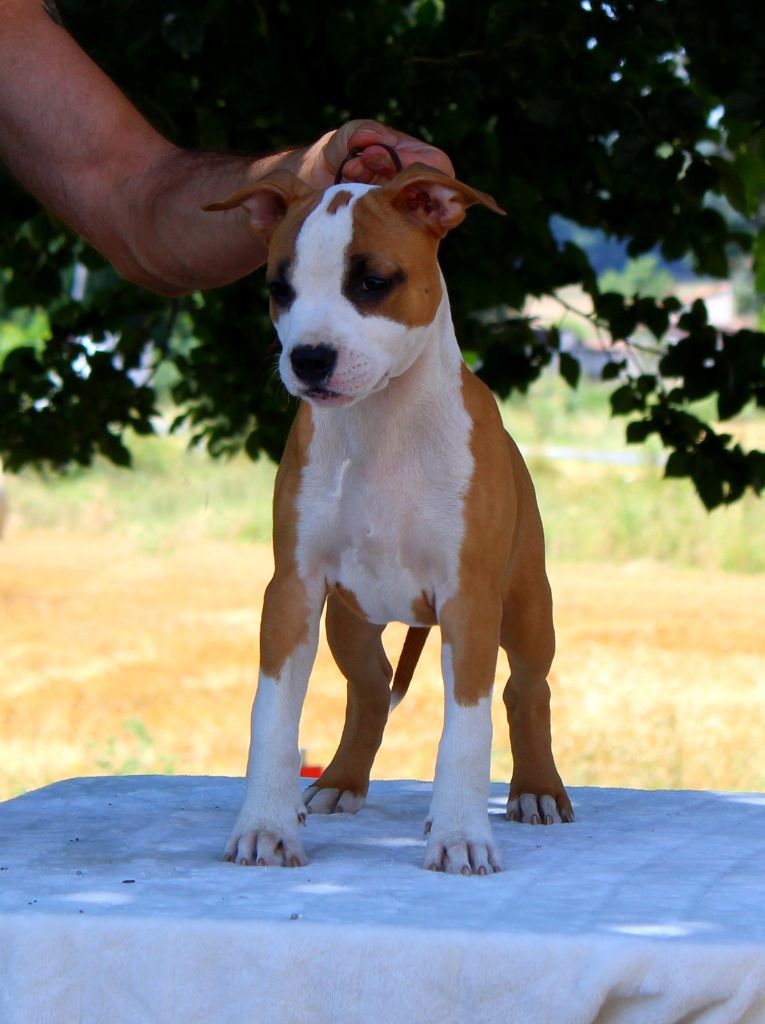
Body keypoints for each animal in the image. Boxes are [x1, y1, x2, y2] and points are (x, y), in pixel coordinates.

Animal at [206, 163, 573, 876]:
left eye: (374, 282)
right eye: (279, 289)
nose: (309, 359)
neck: (383, 426)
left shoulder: (470, 599)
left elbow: (467, 727)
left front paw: (460, 835)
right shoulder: (292, 590)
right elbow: (272, 717)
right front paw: (264, 826)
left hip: (525, 606)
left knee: (527, 690)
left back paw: (538, 790)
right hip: (348, 619)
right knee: (371, 688)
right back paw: (339, 782)